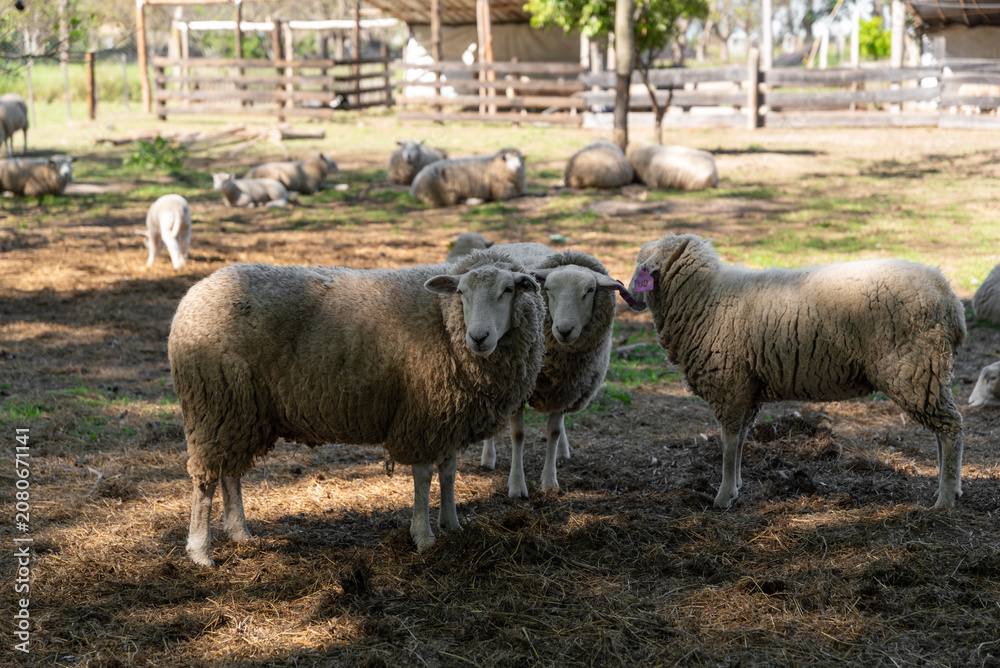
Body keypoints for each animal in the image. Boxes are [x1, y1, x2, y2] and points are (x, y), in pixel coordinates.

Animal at [169, 249, 547, 566]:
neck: (443, 322)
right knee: (205, 480)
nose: (479, 337)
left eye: (509, 290)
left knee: (229, 471)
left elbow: (449, 472)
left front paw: (452, 526)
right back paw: (200, 551)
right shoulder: (422, 416)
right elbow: (424, 477)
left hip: (239, 410)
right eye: (462, 292)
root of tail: (192, 296)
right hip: (216, 401)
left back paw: (240, 533)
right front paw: (424, 537)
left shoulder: (447, 418)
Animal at [627, 233, 966, 510]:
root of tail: (948, 296)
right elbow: (740, 440)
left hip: (914, 369)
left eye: (641, 267)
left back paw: (946, 499)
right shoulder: (746, 389)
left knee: (951, 428)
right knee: (943, 430)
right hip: (929, 372)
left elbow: (728, 442)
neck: (706, 298)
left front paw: (723, 496)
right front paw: (735, 485)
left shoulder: (729, 385)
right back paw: (948, 488)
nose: (629, 297)